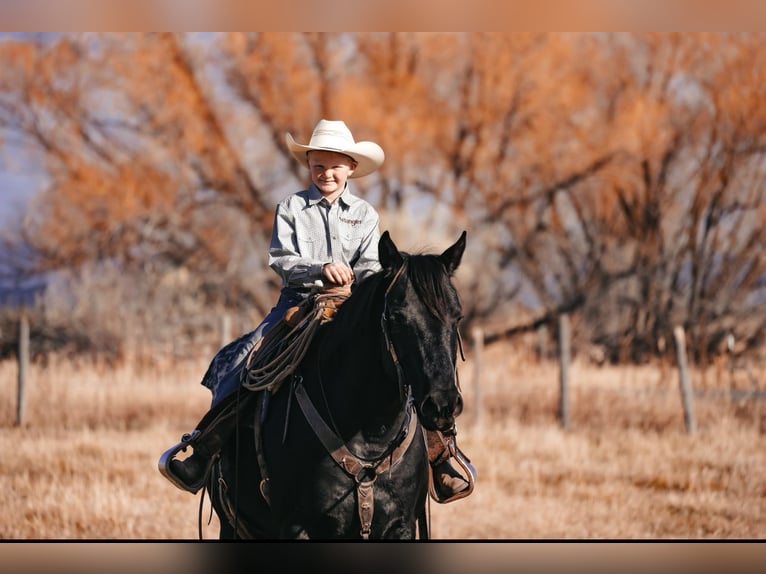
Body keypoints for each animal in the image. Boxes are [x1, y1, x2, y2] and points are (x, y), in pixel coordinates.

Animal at [206, 230, 467, 539]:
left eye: (457, 316)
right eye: (396, 317)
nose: (442, 404)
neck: (370, 436)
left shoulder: (402, 526)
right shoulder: (298, 528)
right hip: (232, 526)